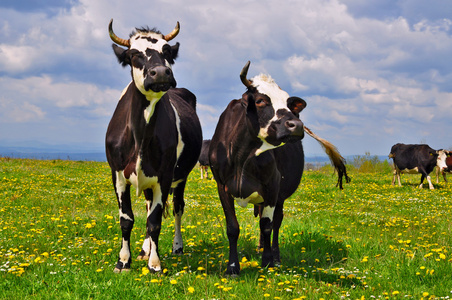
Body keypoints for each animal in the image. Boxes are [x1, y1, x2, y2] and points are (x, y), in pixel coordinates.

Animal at [105, 19, 202, 274]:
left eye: (166, 51)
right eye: (133, 54)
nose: (160, 73)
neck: (141, 135)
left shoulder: (165, 176)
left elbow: (155, 221)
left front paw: (155, 263)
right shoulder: (117, 174)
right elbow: (126, 218)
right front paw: (124, 261)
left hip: (181, 176)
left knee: (177, 207)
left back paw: (176, 247)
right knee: (149, 205)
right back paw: (144, 250)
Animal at [209, 61, 350, 276]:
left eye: (288, 103)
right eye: (260, 100)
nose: (296, 125)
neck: (242, 154)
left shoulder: (272, 187)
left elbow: (267, 225)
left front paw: (268, 260)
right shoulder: (222, 186)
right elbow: (232, 228)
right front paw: (232, 267)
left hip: (280, 196)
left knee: (276, 222)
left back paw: (274, 256)